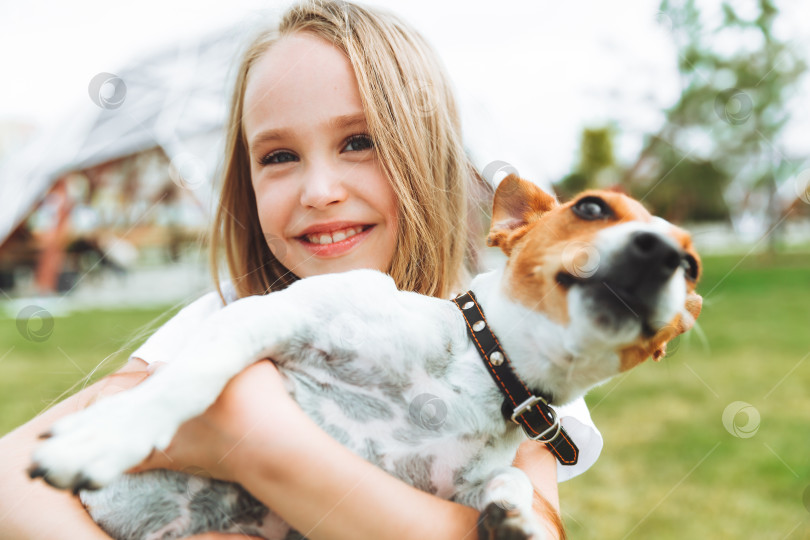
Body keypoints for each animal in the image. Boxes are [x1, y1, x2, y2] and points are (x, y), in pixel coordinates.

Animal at [30, 175, 700, 536]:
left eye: (692, 265)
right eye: (590, 207)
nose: (666, 254)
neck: (486, 370)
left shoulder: (458, 485)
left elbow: (509, 481)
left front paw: (518, 518)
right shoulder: (273, 316)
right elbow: (190, 378)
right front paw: (106, 434)